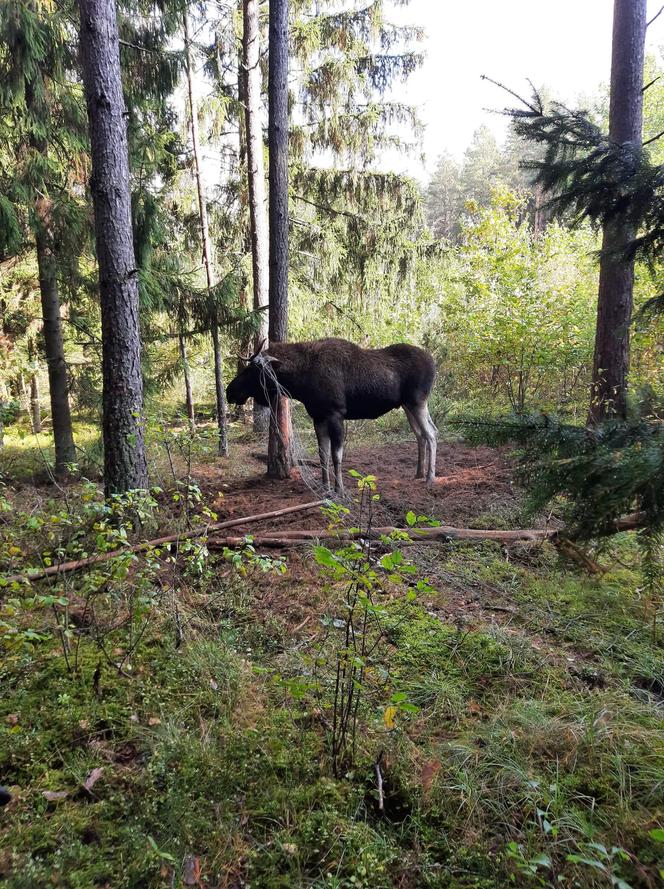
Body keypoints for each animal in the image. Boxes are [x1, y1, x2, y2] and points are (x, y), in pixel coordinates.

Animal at [226, 338, 438, 496]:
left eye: (253, 370)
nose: (229, 391)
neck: (301, 381)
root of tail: (433, 363)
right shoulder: (318, 417)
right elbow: (323, 454)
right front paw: (325, 486)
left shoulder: (336, 414)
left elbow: (337, 455)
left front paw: (339, 489)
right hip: (407, 405)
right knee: (421, 435)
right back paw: (419, 473)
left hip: (417, 401)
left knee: (431, 434)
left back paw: (430, 477)